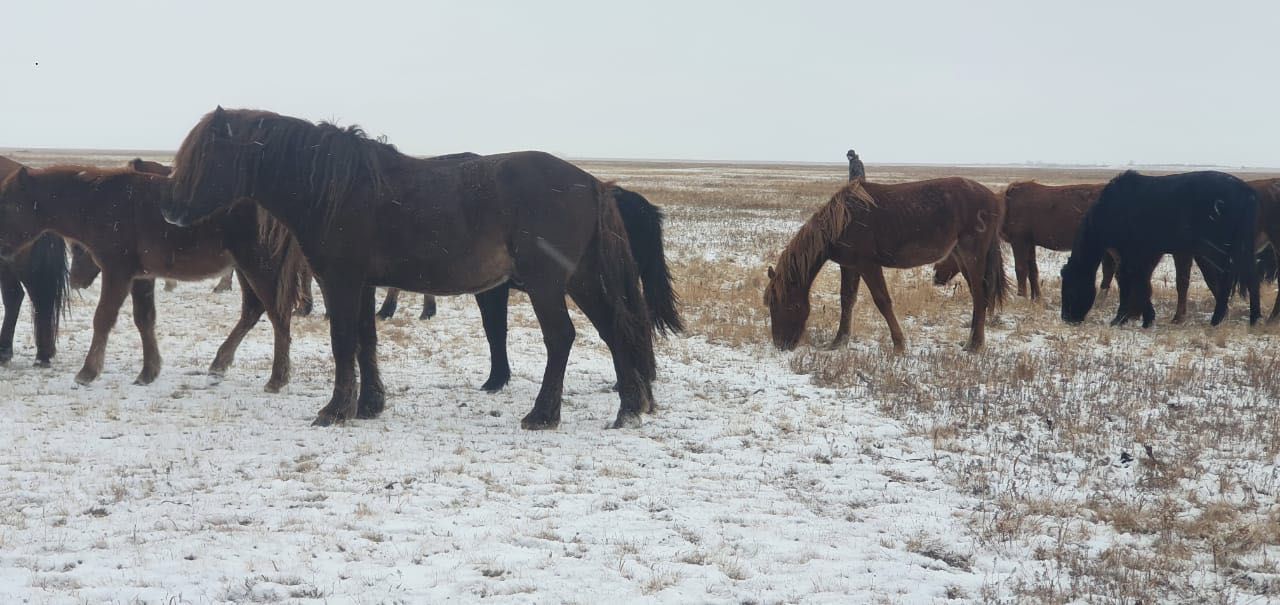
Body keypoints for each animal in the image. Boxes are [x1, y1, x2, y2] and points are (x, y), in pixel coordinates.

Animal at [163, 108, 655, 429]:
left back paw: (542, 414)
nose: (170, 211)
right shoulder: (362, 285)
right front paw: (368, 405)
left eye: (205, 157)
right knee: (614, 331)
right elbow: (365, 341)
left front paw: (334, 410)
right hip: (583, 279)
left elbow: (343, 342)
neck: (333, 189)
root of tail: (593, 184)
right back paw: (629, 409)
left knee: (561, 338)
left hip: (546, 283)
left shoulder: (340, 281)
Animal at [762, 176, 1003, 350]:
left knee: (980, 295)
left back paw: (975, 345)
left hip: (972, 255)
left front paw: (899, 344)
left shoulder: (868, 265)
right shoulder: (849, 266)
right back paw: (973, 340)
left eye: (787, 304)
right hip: (961, 256)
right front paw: (838, 342)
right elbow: (846, 300)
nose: (781, 344)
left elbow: (882, 301)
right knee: (977, 295)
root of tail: (993, 198)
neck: (842, 222)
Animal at [1059, 170, 1259, 327]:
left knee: (1226, 279)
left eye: (1070, 288)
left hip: (1218, 250)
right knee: (1250, 277)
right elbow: (1140, 280)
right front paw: (1143, 317)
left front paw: (1123, 318)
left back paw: (1216, 320)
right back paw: (1254, 318)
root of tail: (1247, 192)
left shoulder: (1131, 254)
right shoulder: (1145, 254)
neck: (1112, 209)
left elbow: (1130, 280)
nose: (1067, 318)